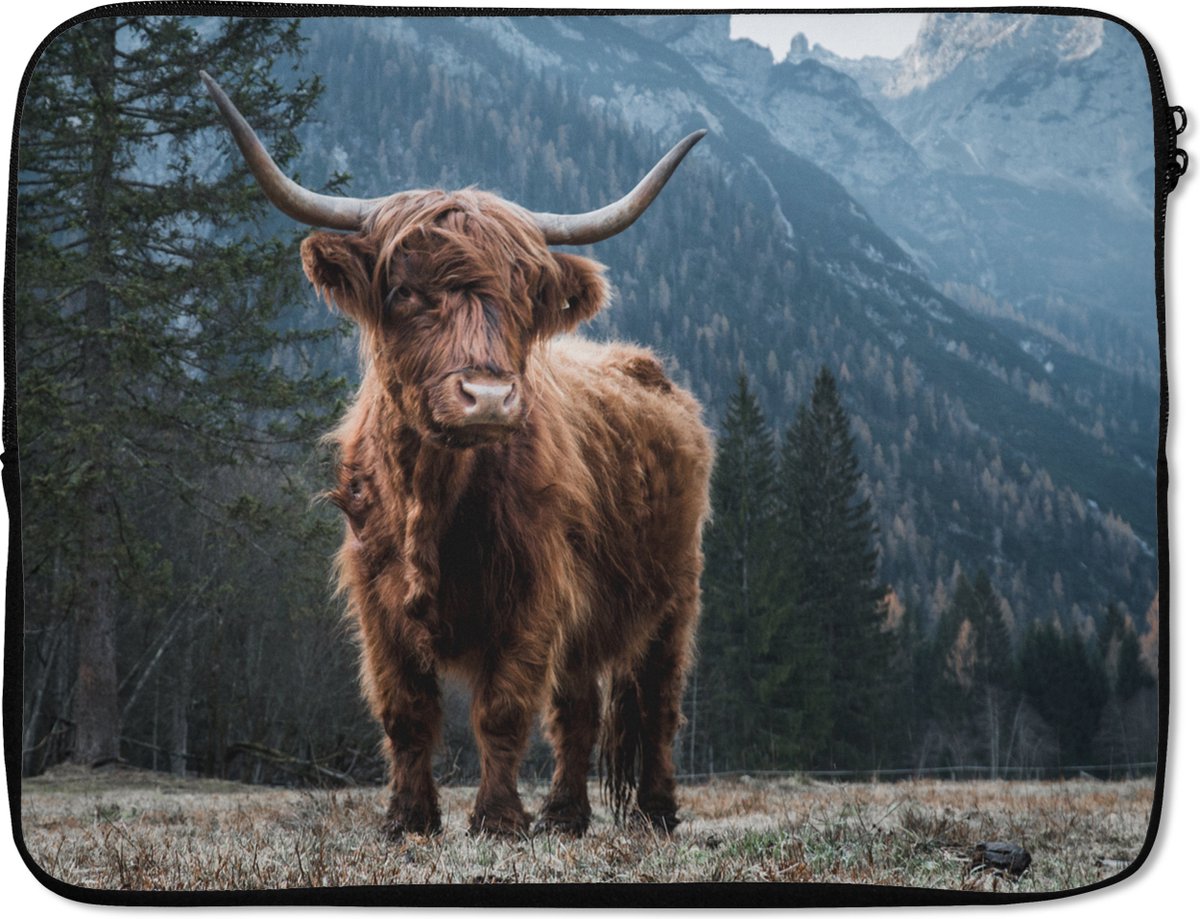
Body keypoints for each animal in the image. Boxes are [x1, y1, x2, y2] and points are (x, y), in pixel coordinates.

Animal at [202, 72, 713, 838]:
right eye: (404, 291)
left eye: (524, 297)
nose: (490, 397)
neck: (432, 497)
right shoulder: (375, 598)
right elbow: (406, 711)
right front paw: (408, 818)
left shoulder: (534, 590)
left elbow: (502, 710)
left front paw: (497, 819)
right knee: (579, 709)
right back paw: (565, 814)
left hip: (675, 594)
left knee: (657, 702)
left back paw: (653, 811)